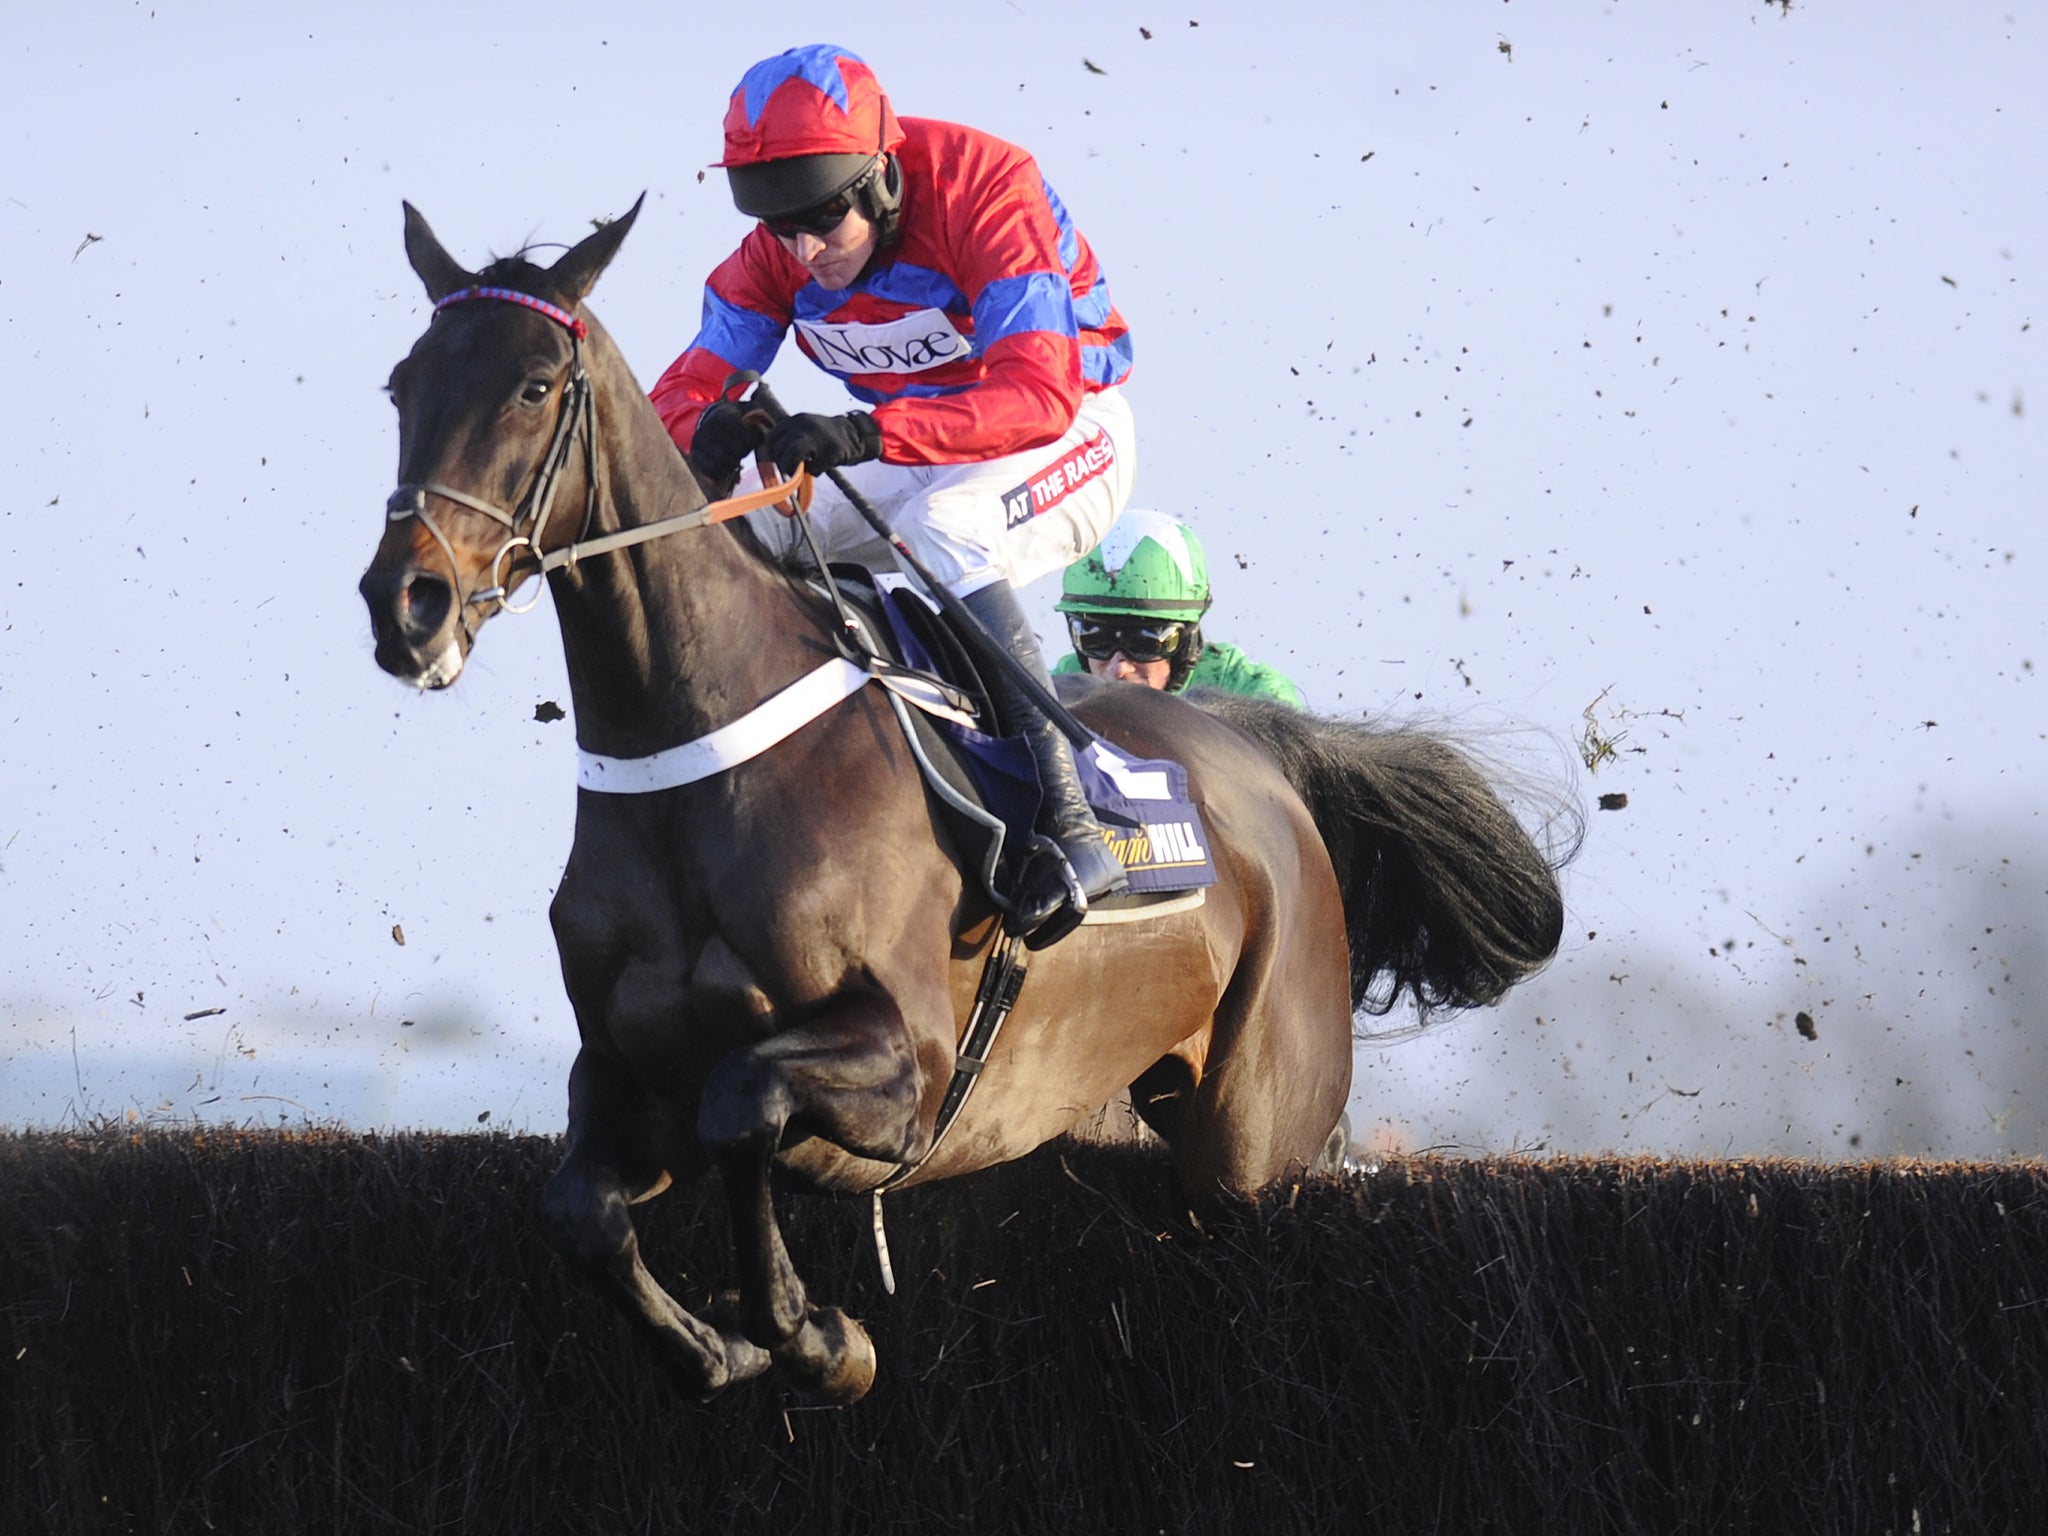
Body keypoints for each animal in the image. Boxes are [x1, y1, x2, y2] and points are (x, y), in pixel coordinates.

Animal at [360, 195, 1572, 1409]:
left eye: (533, 388)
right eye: (401, 386)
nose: (406, 603)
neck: (696, 766)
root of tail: (1253, 755)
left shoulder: (910, 1068)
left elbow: (744, 1104)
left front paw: (818, 1337)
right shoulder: (628, 1076)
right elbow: (580, 1208)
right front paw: (722, 1346)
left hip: (1254, 1131)